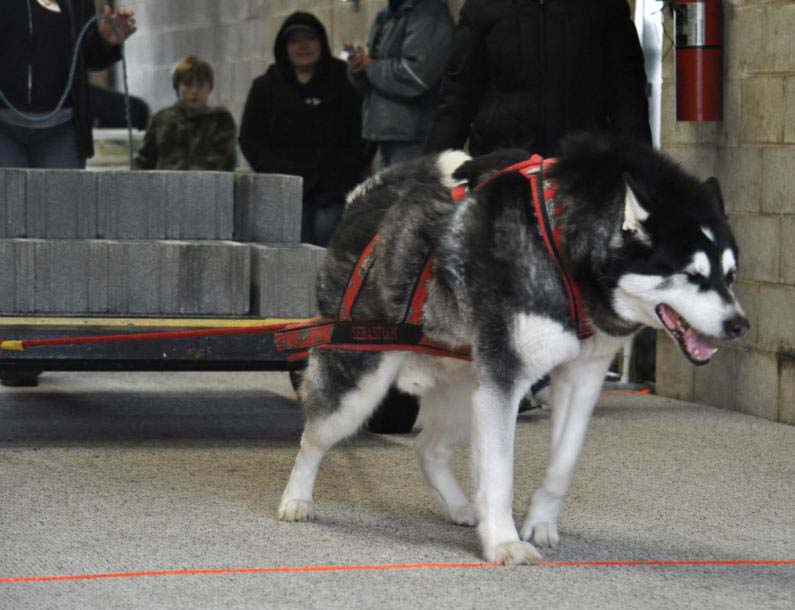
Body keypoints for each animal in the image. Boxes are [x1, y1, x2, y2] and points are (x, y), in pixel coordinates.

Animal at [278, 134, 748, 564]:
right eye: (691, 274)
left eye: (730, 275)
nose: (739, 325)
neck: (559, 243)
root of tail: (364, 202)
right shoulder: (505, 380)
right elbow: (500, 472)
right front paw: (503, 542)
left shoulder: (581, 376)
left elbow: (563, 462)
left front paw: (538, 522)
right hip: (362, 381)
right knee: (314, 436)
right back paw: (297, 499)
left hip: (470, 391)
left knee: (428, 448)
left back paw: (460, 506)